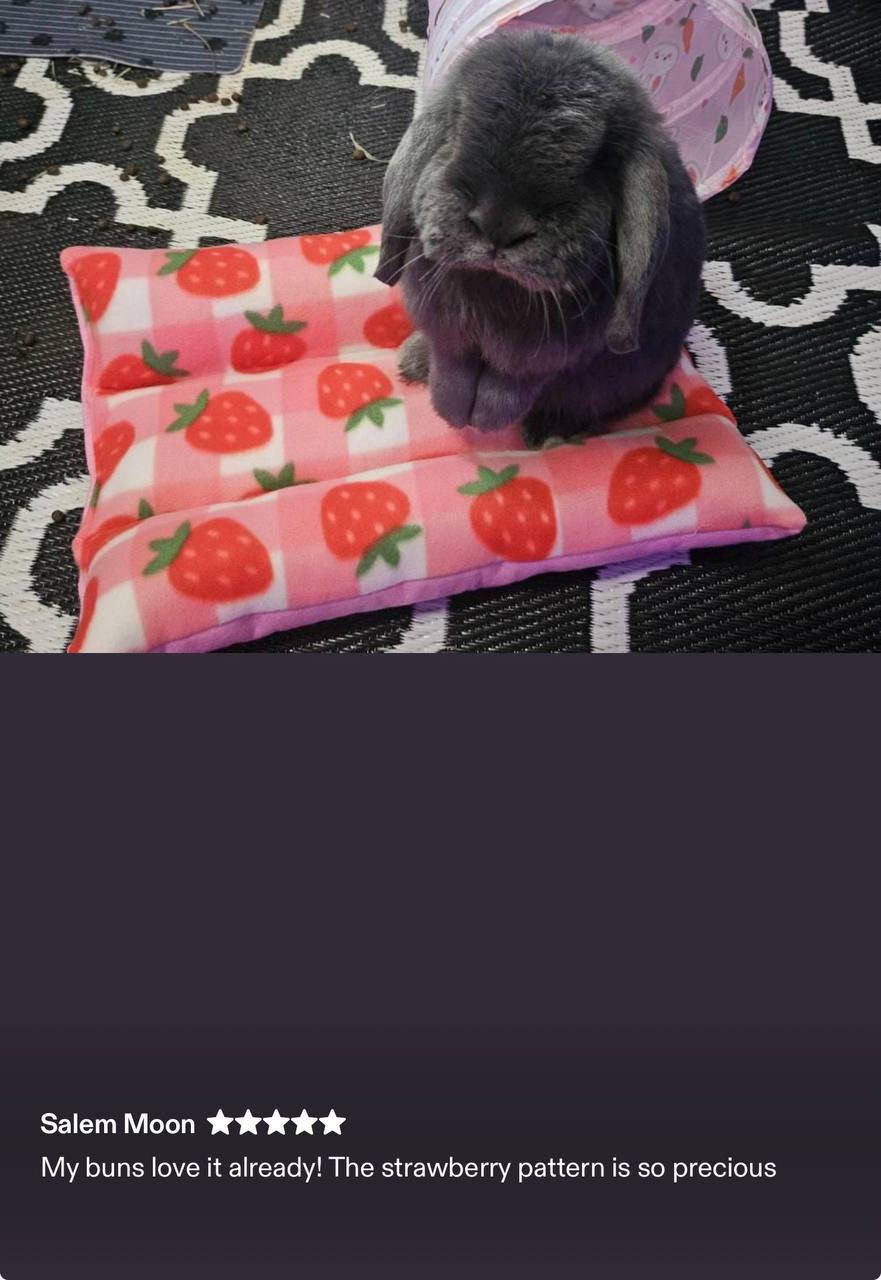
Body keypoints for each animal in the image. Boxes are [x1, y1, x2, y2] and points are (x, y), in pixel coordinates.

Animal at [375, 28, 705, 447]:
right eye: (457, 128)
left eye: (600, 160)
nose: (498, 224)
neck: (494, 283)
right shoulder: (450, 339)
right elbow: (452, 373)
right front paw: (451, 410)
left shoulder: (541, 362)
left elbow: (508, 389)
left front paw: (481, 420)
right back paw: (412, 362)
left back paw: (551, 433)